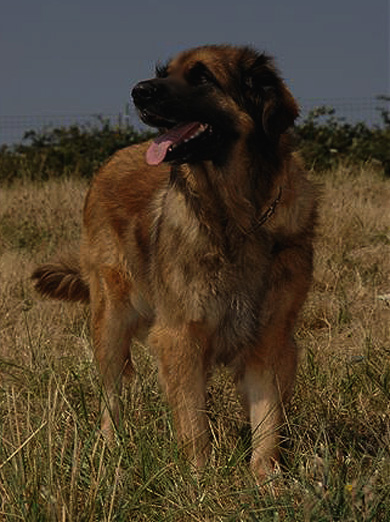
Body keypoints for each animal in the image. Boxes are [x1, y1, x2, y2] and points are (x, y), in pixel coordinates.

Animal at [31, 45, 316, 480]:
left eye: (202, 77)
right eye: (164, 74)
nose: (138, 91)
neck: (235, 218)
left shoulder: (271, 338)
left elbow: (266, 417)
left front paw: (266, 478)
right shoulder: (180, 334)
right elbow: (192, 421)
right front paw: (199, 478)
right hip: (110, 320)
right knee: (111, 395)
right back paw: (110, 447)